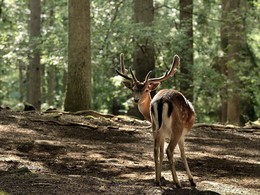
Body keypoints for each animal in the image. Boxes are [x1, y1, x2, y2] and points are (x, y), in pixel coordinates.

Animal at [116, 54, 195, 188]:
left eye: (146, 90)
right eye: (133, 89)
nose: (136, 99)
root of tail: (162, 100)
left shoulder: (161, 133)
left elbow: (160, 152)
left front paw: (160, 177)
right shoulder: (182, 135)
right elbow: (183, 154)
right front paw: (191, 180)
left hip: (155, 128)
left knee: (155, 150)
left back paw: (157, 181)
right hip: (177, 128)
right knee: (169, 150)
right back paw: (177, 182)